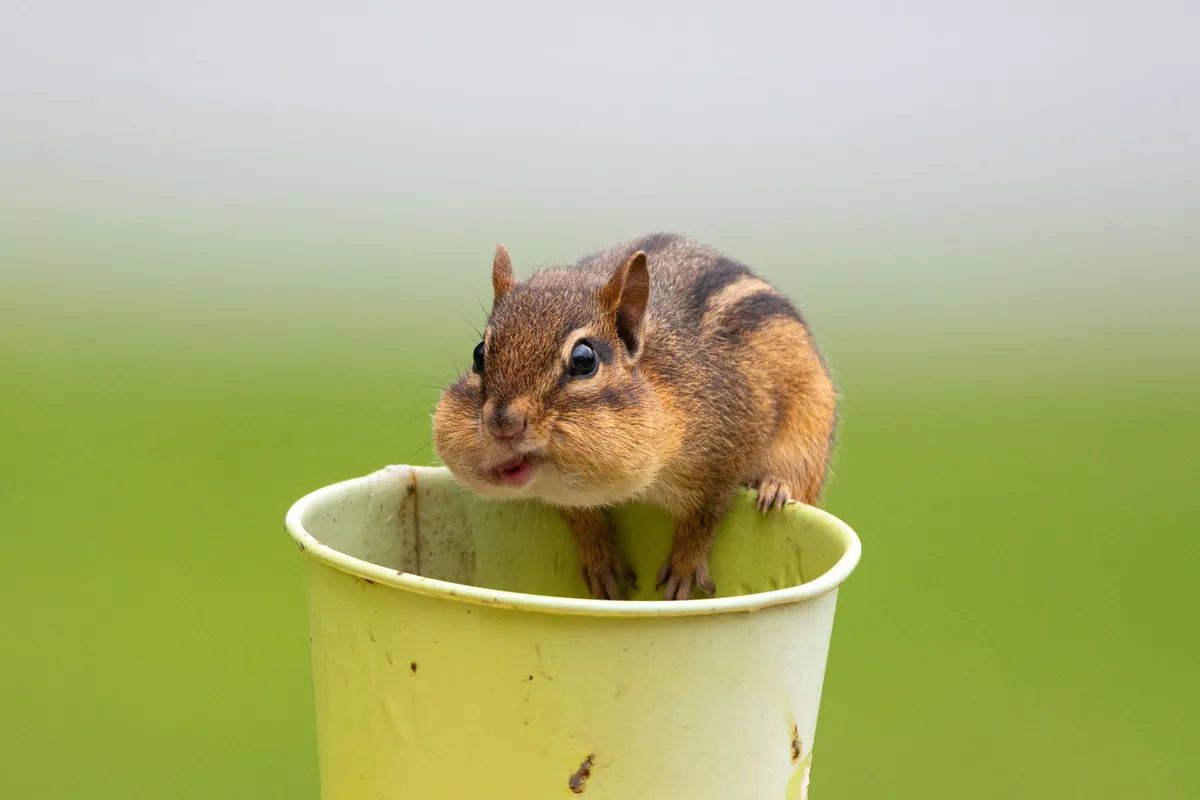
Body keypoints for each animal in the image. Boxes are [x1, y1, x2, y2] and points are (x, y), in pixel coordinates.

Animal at [432, 233, 838, 601]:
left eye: (584, 360)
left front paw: (685, 565)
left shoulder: (730, 441)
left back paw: (775, 486)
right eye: (479, 353)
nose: (503, 425)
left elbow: (706, 511)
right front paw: (601, 561)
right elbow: (577, 512)